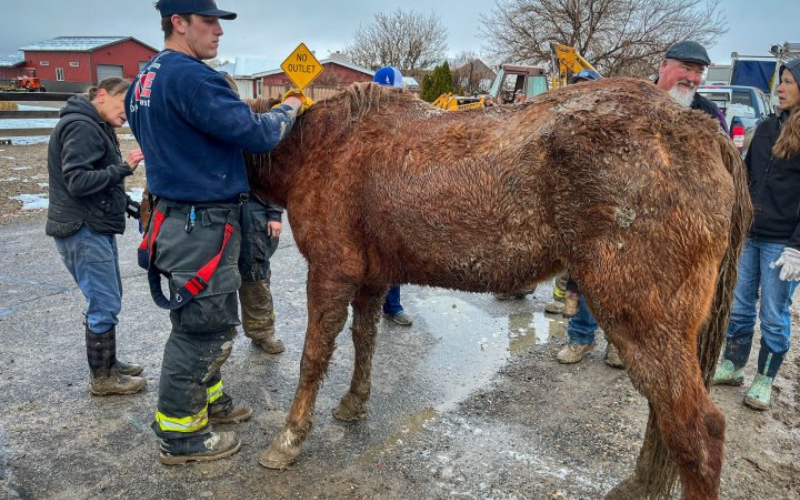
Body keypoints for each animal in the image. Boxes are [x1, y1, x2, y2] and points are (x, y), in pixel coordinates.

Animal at [236, 80, 744, 498]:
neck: (322, 147)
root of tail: (705, 132)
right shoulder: (371, 278)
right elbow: (365, 340)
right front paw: (353, 403)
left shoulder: (330, 272)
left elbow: (314, 354)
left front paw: (290, 437)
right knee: (666, 417)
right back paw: (641, 484)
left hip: (640, 318)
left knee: (697, 431)